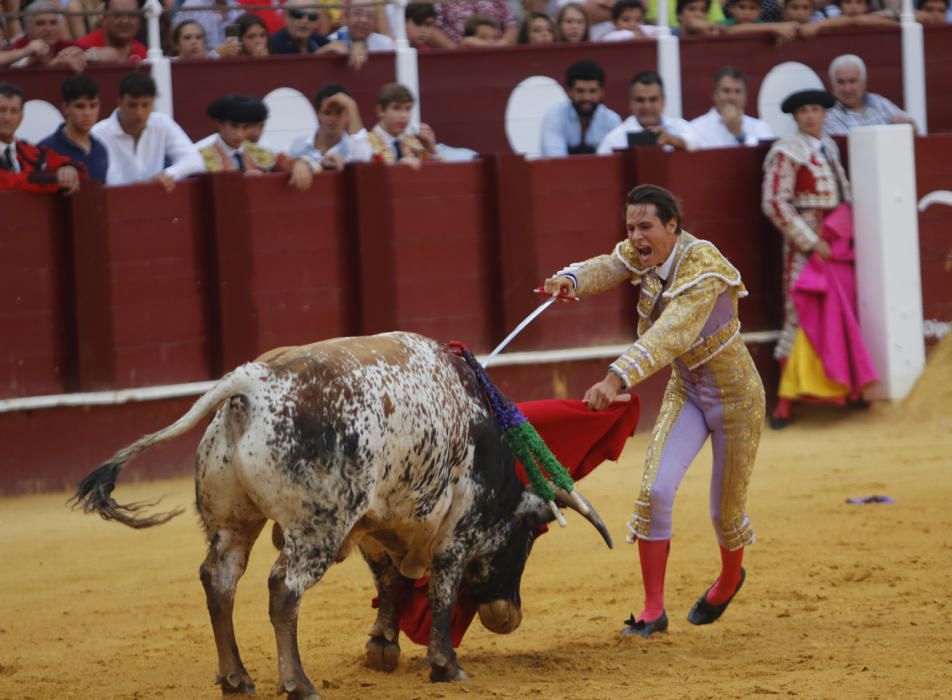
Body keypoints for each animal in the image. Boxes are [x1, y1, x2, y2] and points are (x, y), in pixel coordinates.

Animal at [72, 334, 608, 700]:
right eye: (531, 536)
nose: (508, 616)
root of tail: (251, 383)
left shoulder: (374, 522)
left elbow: (390, 581)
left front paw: (383, 647)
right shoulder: (456, 525)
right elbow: (440, 588)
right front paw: (445, 664)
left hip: (233, 522)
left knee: (219, 579)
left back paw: (237, 677)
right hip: (317, 528)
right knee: (283, 588)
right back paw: (298, 683)